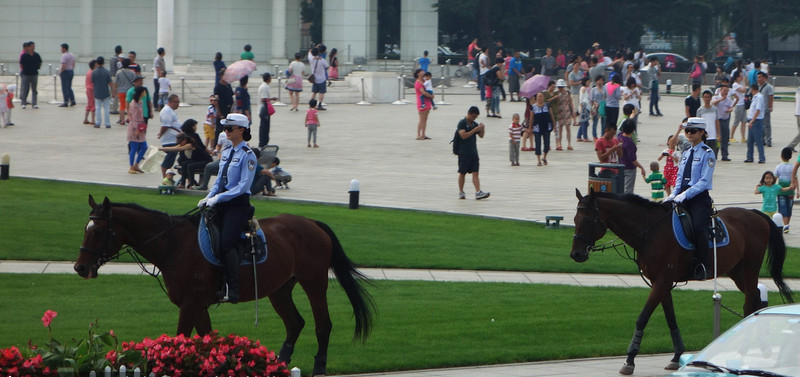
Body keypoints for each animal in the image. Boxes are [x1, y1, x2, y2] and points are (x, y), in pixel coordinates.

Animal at [75, 195, 376, 374]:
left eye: (98, 230)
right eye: (86, 229)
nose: (80, 267)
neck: (175, 244)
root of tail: (312, 222)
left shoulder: (190, 304)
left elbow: (183, 338)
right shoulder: (198, 306)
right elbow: (207, 340)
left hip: (314, 283)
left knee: (322, 325)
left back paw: (318, 368)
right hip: (279, 290)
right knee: (294, 323)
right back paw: (278, 364)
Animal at [572, 189, 792, 374]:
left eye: (589, 220)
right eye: (574, 219)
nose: (576, 254)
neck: (651, 231)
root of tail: (755, 214)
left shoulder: (662, 281)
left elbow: (643, 317)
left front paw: (630, 359)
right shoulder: (661, 282)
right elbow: (671, 318)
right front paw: (677, 356)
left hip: (749, 270)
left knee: (750, 303)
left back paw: (746, 348)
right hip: (737, 272)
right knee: (755, 299)